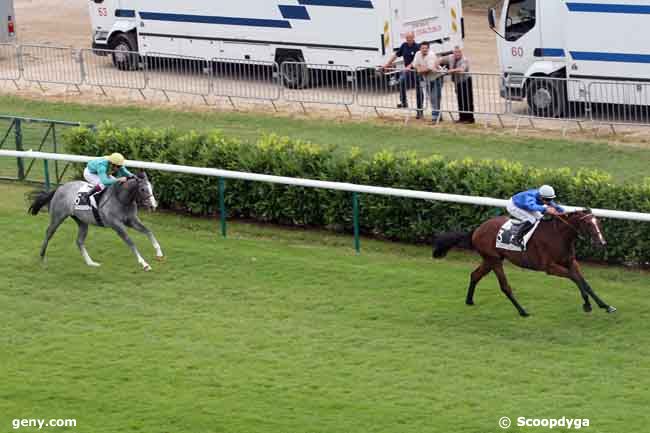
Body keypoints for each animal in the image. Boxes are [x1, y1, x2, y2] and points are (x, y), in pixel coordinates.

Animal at [28, 172, 162, 270]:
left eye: (152, 188)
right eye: (143, 189)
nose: (153, 205)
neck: (121, 199)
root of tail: (60, 188)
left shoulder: (131, 221)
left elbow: (148, 231)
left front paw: (159, 253)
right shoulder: (116, 225)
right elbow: (130, 242)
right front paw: (144, 264)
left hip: (82, 221)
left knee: (79, 241)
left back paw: (91, 263)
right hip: (58, 217)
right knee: (49, 233)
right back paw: (42, 257)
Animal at [432, 211, 616, 316]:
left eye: (598, 223)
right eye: (588, 224)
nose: (602, 242)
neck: (558, 235)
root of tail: (477, 229)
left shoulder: (570, 262)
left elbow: (584, 282)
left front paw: (605, 306)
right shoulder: (549, 267)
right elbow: (575, 279)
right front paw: (587, 305)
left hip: (491, 260)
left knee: (475, 275)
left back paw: (469, 300)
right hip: (494, 260)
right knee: (505, 286)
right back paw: (522, 311)